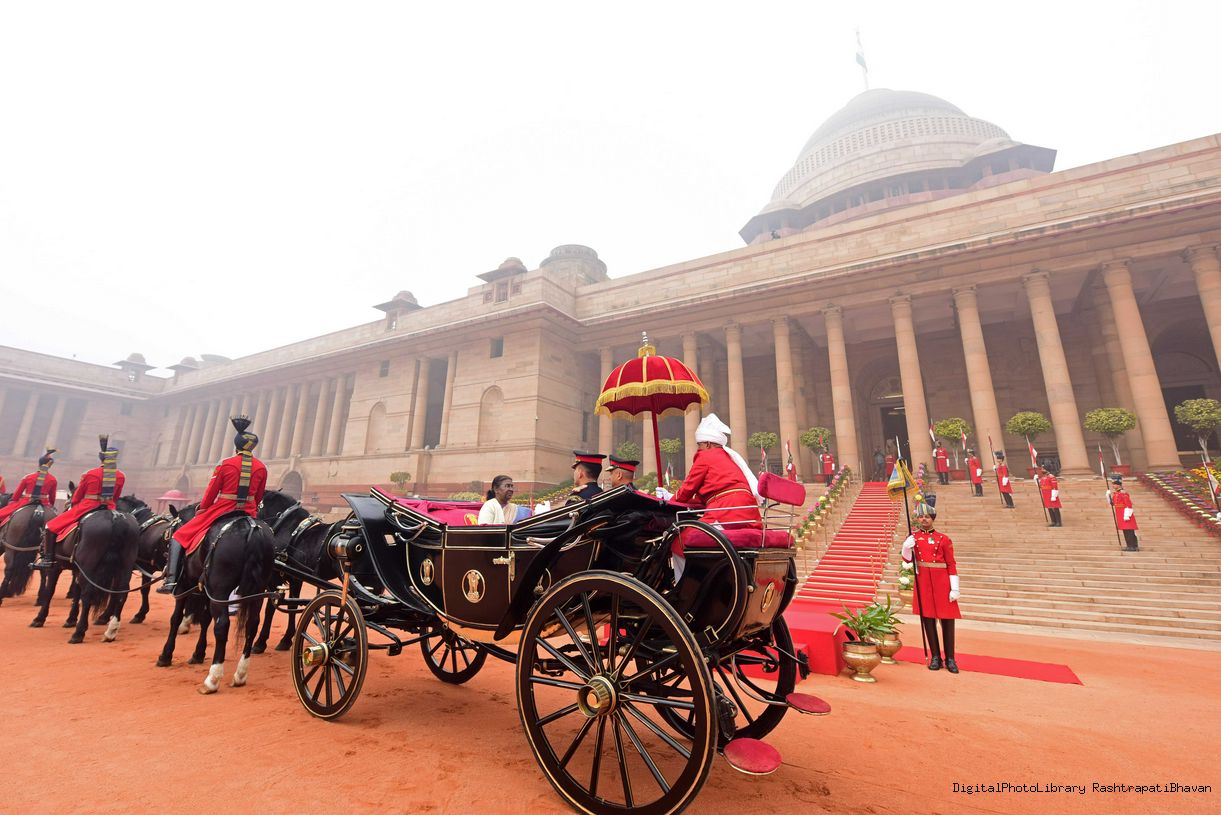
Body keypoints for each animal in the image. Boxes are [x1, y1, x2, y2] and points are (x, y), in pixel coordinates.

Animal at [31, 484, 140, 643]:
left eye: (67, 504)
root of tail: (115, 518)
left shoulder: (56, 566)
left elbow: (50, 590)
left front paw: (40, 618)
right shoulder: (78, 568)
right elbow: (76, 592)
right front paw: (70, 619)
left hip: (89, 565)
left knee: (88, 593)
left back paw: (79, 632)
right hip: (125, 565)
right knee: (121, 593)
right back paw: (111, 631)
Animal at [155, 510, 274, 694]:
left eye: (168, 533)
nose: (165, 561)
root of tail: (251, 528)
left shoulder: (184, 585)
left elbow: (175, 618)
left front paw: (166, 655)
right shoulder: (205, 588)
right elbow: (205, 619)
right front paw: (198, 653)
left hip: (220, 589)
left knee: (222, 626)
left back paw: (212, 679)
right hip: (257, 591)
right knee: (252, 624)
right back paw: (240, 674)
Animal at [254, 489, 343, 653]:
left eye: (257, 506)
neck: (288, 530)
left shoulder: (279, 577)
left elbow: (272, 607)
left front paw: (261, 642)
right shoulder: (296, 578)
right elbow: (292, 604)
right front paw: (287, 639)